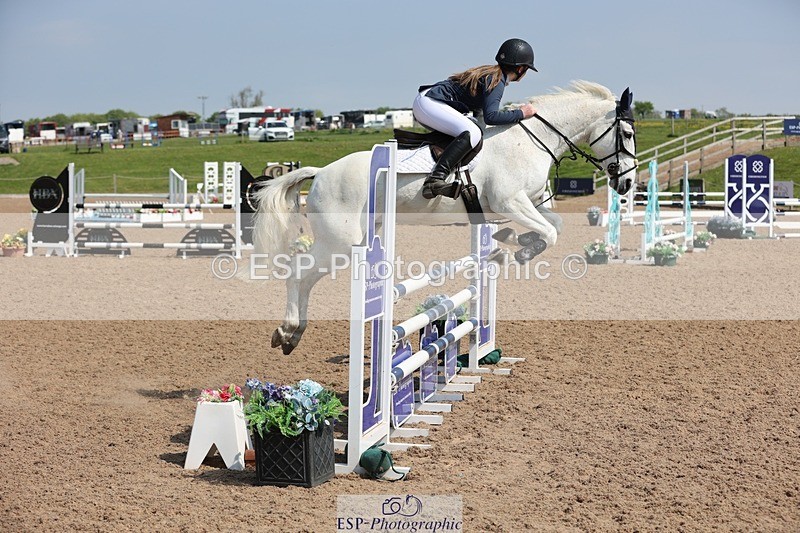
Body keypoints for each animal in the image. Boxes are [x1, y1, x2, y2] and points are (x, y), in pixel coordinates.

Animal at [254, 81, 637, 354]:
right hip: (342, 242)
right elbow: (551, 232)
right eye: (628, 134)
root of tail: (321, 172)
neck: (533, 139)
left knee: (306, 279)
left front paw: (513, 243)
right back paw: (286, 331)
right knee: (298, 274)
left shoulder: (527, 204)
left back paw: (293, 334)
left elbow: (554, 227)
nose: (627, 183)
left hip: (355, 239)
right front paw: (522, 250)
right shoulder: (510, 202)